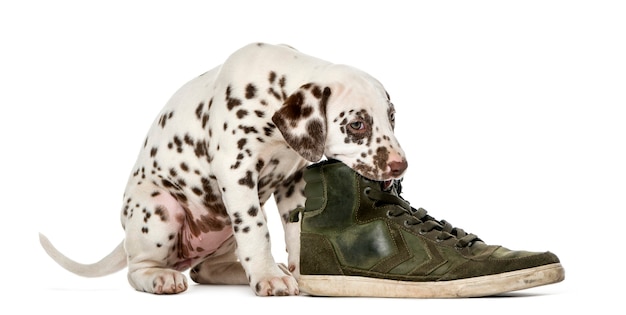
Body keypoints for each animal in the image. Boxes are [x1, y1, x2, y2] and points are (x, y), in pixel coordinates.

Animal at [40, 42, 410, 296]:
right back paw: (161, 277)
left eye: (392, 117)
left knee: (205, 270)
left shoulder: (293, 183)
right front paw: (269, 277)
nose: (400, 165)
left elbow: (296, 230)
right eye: (357, 124)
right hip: (159, 210)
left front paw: (297, 271)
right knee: (137, 268)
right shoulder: (236, 173)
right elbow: (257, 231)